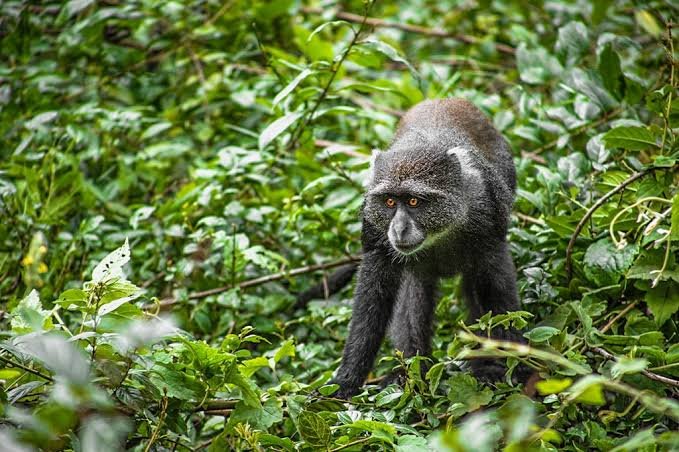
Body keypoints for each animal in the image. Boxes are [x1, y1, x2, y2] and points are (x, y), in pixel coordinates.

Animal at [326, 98, 522, 399]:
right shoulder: (374, 230)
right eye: (390, 202)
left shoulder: (488, 216)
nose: (398, 229)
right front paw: (346, 381)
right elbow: (373, 296)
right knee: (414, 289)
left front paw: (510, 366)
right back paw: (411, 372)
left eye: (414, 201)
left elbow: (496, 288)